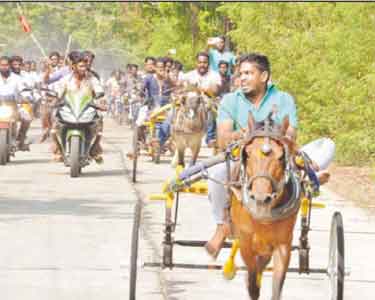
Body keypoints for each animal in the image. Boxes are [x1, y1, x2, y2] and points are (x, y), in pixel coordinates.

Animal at [231, 113, 302, 300]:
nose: (261, 199)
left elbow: (276, 286)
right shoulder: (245, 241)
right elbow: (252, 282)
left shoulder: (283, 244)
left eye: (281, 157)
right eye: (247, 153)